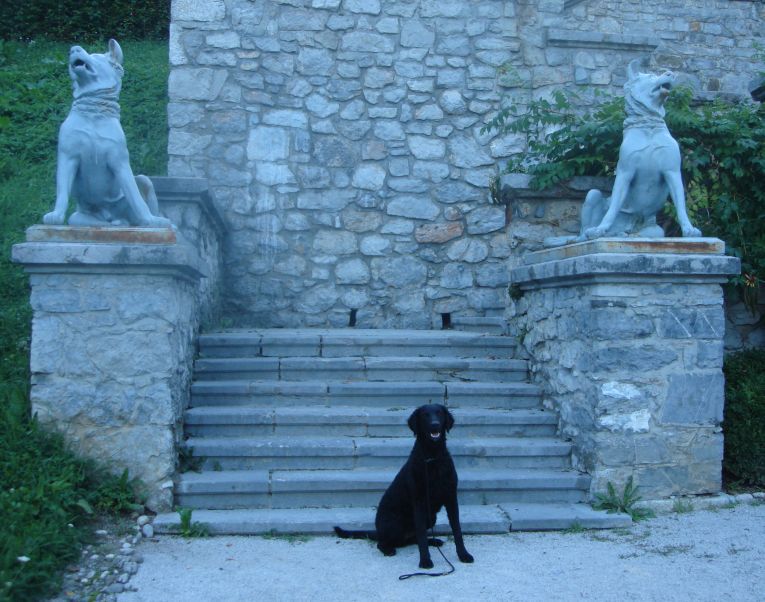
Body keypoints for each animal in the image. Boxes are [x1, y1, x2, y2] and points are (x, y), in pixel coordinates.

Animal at [44, 39, 172, 227]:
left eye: (96, 56)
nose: (73, 49)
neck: (94, 114)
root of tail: (110, 215)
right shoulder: (68, 156)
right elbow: (62, 191)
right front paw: (55, 215)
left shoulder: (119, 161)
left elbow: (136, 197)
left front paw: (149, 220)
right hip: (84, 215)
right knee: (87, 220)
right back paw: (115, 223)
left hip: (143, 180)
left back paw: (153, 221)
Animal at [334, 404, 472, 568]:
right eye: (425, 415)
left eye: (439, 413)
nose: (435, 425)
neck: (432, 457)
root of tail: (378, 530)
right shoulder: (419, 502)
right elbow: (421, 534)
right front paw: (425, 561)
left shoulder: (451, 498)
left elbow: (457, 530)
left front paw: (463, 555)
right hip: (395, 523)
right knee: (384, 542)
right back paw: (388, 549)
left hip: (431, 518)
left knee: (412, 539)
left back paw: (434, 541)